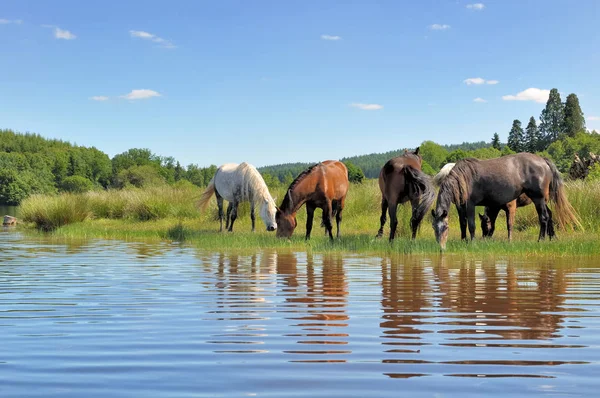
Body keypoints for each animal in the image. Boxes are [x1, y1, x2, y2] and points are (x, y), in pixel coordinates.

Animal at [432, 152, 580, 249]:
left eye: (445, 227)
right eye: (434, 227)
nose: (441, 247)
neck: (463, 177)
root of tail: (543, 161)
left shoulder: (470, 205)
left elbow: (471, 225)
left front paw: (472, 242)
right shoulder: (461, 206)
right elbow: (463, 224)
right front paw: (464, 240)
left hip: (538, 199)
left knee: (543, 217)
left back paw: (541, 240)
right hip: (542, 200)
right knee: (549, 215)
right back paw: (552, 237)